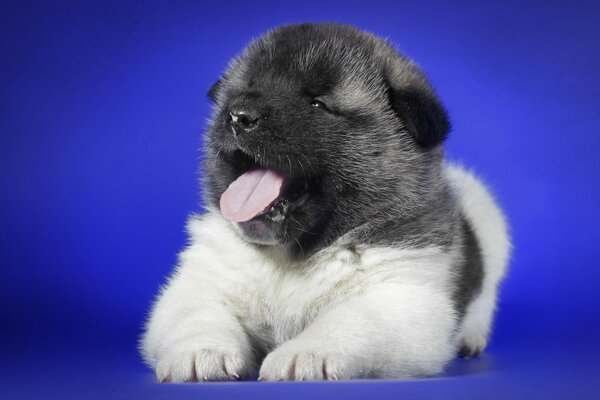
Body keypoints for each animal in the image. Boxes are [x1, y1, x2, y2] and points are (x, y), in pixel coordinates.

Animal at [142, 21, 510, 382]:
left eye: (317, 104)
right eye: (243, 90)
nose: (238, 115)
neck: (291, 259)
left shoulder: (399, 298)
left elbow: (349, 321)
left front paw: (304, 353)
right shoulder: (203, 281)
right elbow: (198, 313)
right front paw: (201, 351)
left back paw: (471, 338)